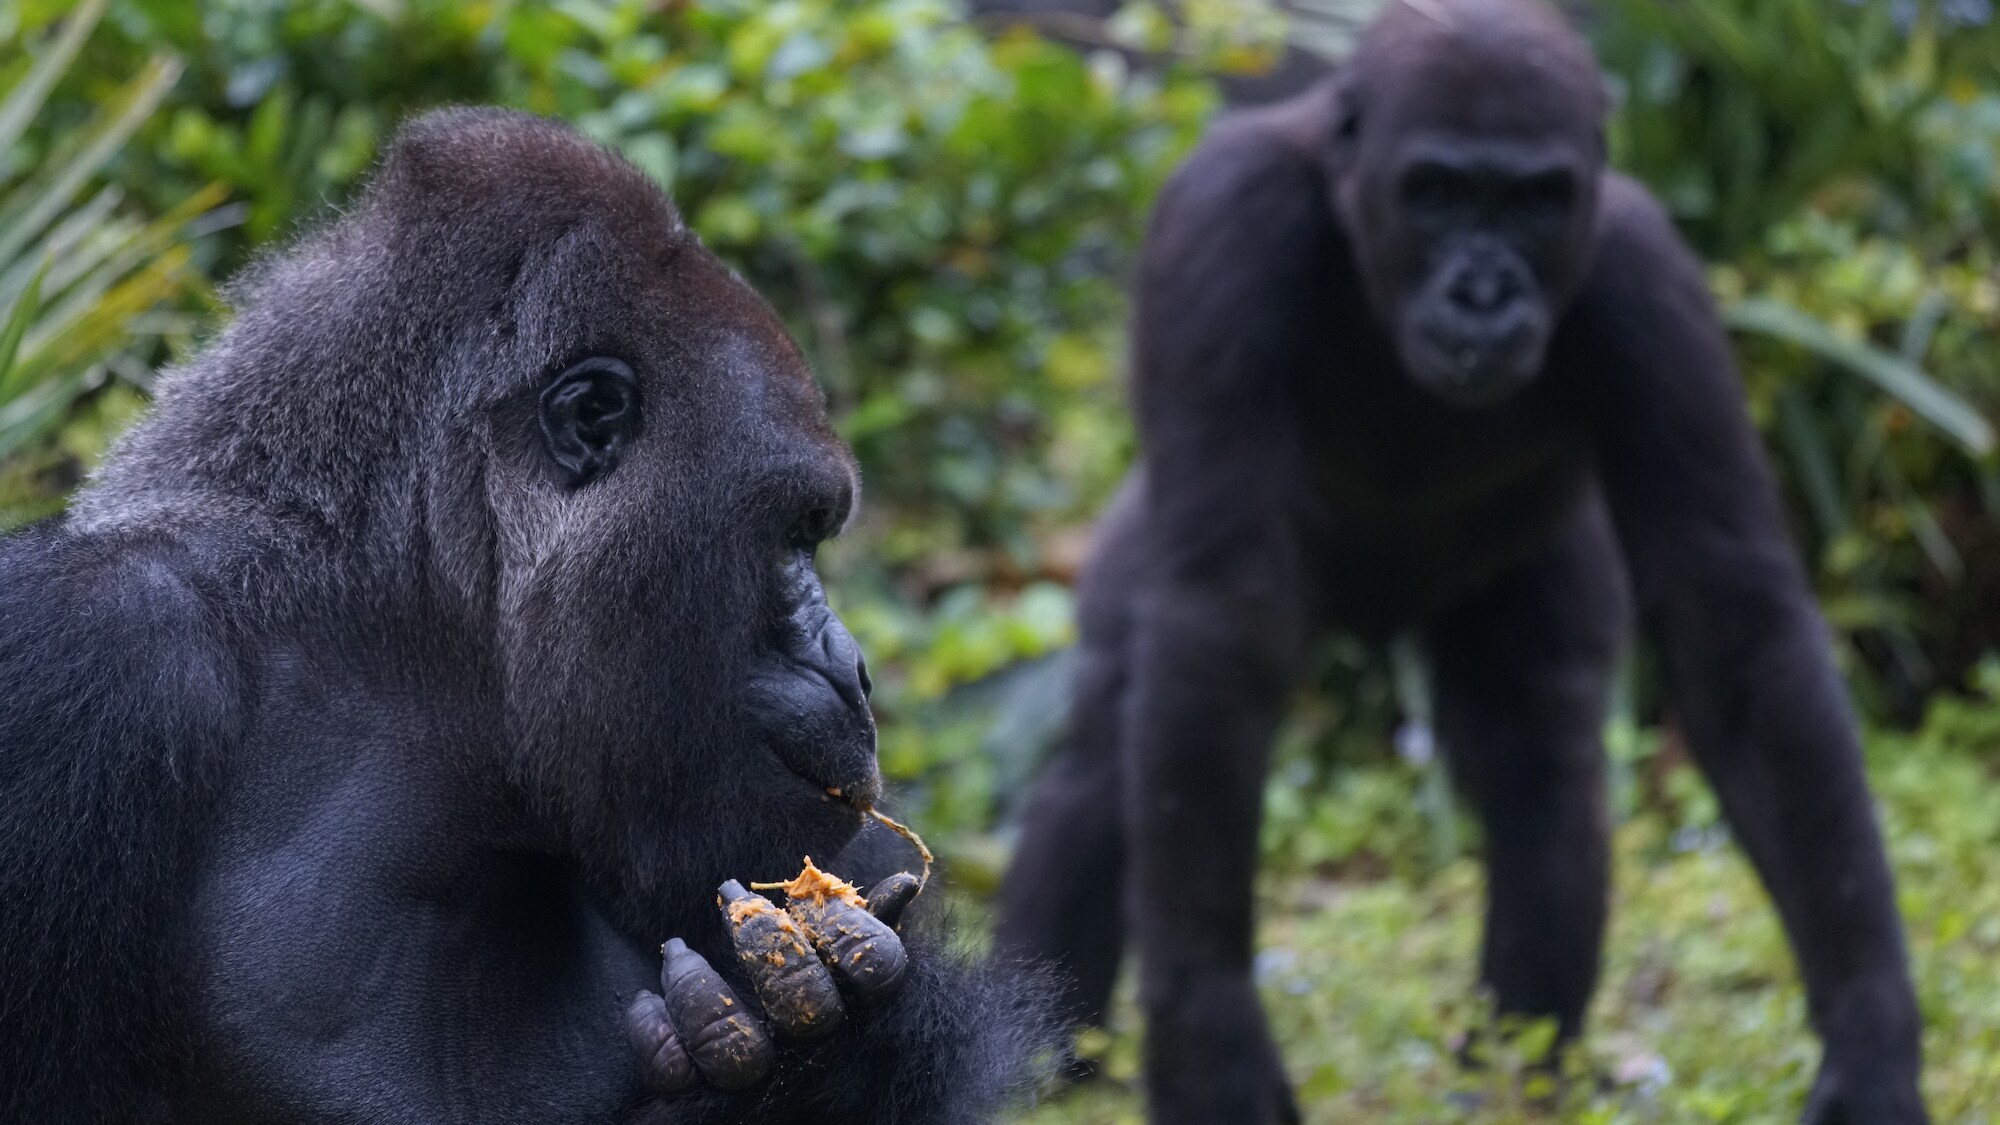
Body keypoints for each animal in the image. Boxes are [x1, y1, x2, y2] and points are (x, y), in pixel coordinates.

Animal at [1000, 2, 1920, 1120]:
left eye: (1533, 200)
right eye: (1434, 191)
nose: (1482, 292)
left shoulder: (1645, 272)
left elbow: (1729, 623)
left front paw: (1870, 1030)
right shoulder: (1226, 216)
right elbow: (1222, 611)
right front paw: (1208, 1035)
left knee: (1539, 743)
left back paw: (1518, 1063)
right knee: (1108, 742)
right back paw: (1037, 1060)